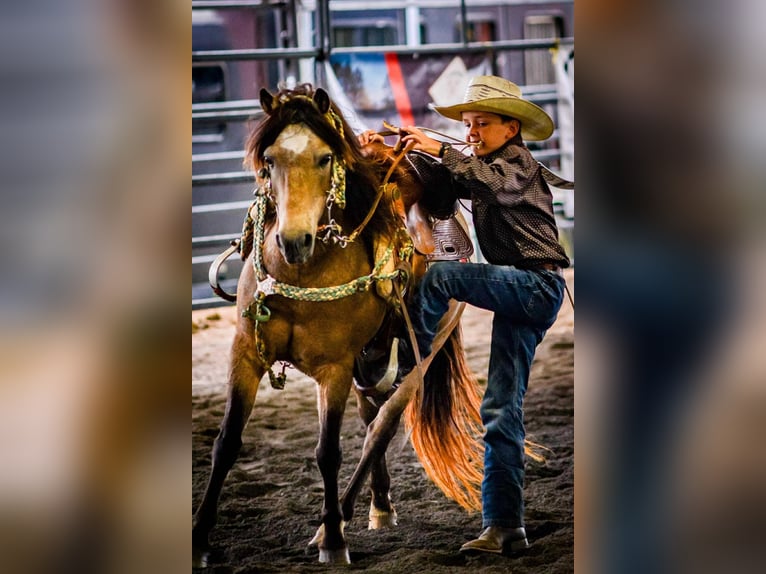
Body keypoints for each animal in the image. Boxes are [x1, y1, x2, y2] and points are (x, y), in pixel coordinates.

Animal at [192, 84, 484, 565]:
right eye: (269, 158)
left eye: (325, 158)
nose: (294, 241)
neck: (300, 273)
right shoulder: (246, 354)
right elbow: (226, 442)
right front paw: (200, 538)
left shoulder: (335, 368)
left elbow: (328, 451)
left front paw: (332, 539)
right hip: (370, 357)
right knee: (370, 418)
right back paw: (379, 505)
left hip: (422, 349)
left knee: (381, 426)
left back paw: (340, 518)